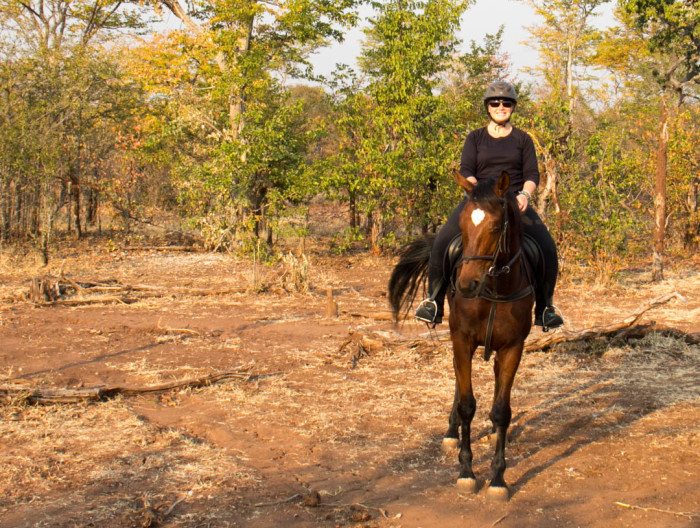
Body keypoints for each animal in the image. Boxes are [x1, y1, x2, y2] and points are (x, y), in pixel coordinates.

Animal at [388, 170, 535, 501]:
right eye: (464, 225)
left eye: (495, 226)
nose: (467, 284)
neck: (495, 289)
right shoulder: (462, 340)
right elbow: (467, 404)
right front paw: (467, 471)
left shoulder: (513, 347)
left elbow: (502, 410)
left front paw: (498, 477)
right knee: (459, 384)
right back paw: (451, 432)